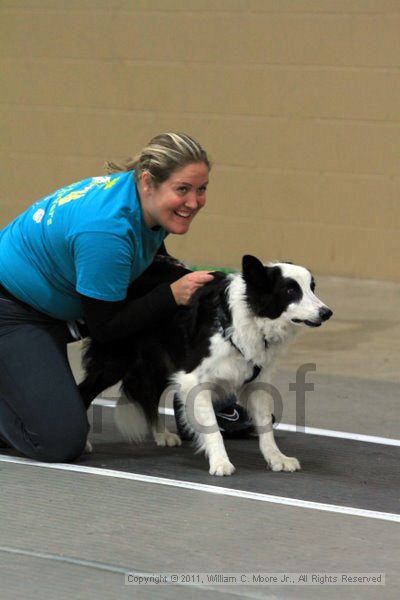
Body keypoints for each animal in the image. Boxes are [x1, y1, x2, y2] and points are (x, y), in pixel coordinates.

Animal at [79, 255, 332, 476]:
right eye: (290, 291)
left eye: (312, 287)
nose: (327, 313)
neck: (241, 318)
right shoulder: (193, 378)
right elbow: (212, 427)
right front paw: (220, 462)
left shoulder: (257, 380)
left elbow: (265, 425)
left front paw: (276, 457)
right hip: (115, 361)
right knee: (85, 391)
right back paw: (83, 443)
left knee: (148, 394)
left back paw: (161, 434)